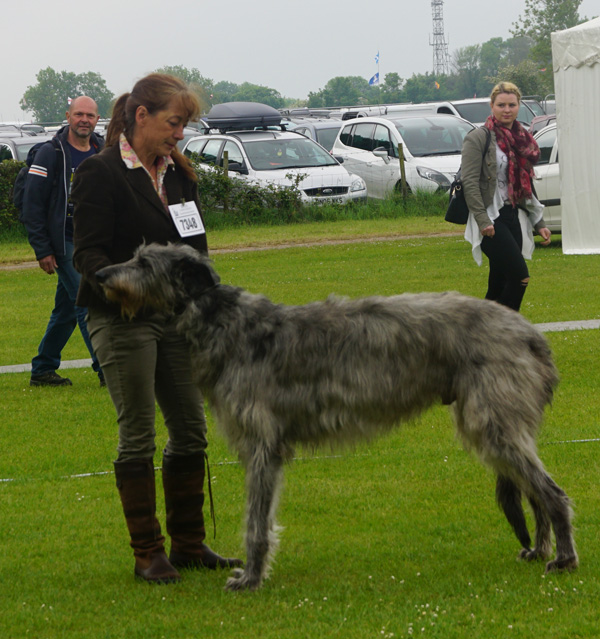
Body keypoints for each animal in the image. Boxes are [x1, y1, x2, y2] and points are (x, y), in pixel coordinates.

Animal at [96, 242, 580, 592]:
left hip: (493, 420)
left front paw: (250, 577)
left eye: (143, 262)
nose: (100, 275)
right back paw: (540, 549)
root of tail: (532, 334)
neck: (226, 324)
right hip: (496, 423)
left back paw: (564, 559)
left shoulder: (263, 445)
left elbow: (256, 520)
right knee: (534, 492)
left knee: (552, 493)